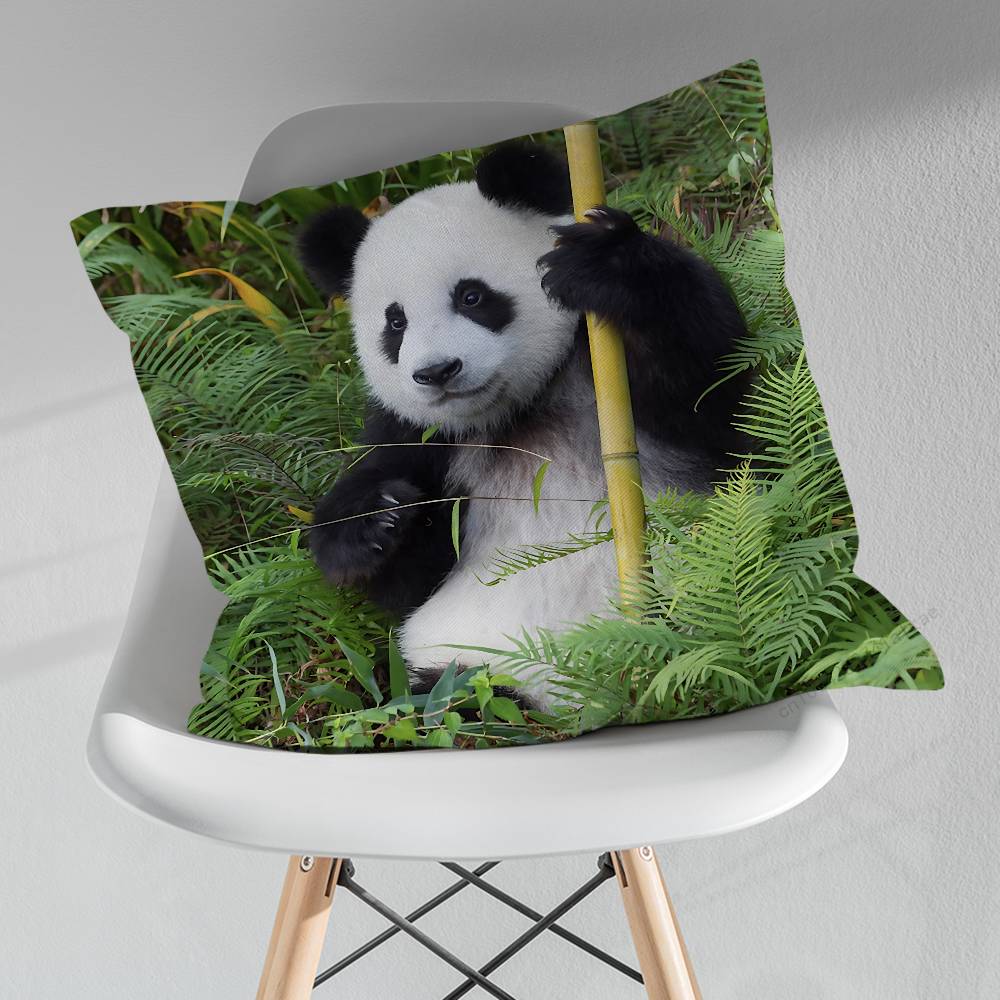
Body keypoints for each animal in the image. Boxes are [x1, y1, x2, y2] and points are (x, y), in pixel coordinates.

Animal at [297, 142, 748, 709]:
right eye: (395, 323)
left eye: (471, 296)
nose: (438, 372)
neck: (516, 413)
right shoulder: (419, 438)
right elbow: (405, 580)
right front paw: (377, 520)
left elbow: (721, 401)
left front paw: (606, 262)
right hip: (461, 665)